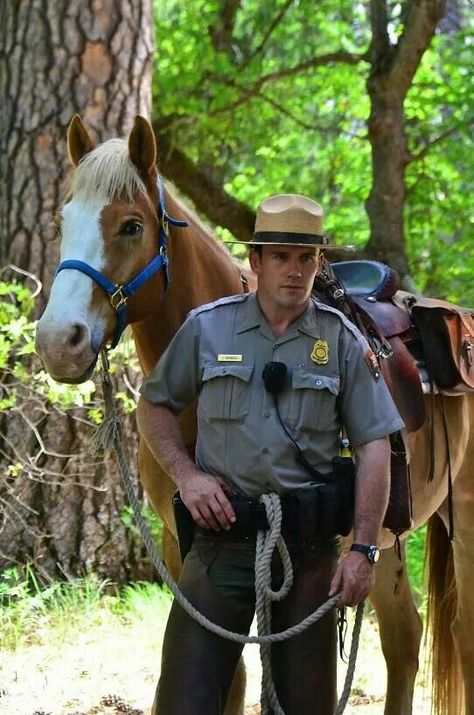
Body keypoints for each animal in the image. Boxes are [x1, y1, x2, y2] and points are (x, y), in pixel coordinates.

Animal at [36, 117, 474, 715]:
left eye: (130, 225)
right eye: (63, 222)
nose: (59, 341)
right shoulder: (181, 548)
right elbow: (232, 675)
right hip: (389, 535)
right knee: (405, 637)